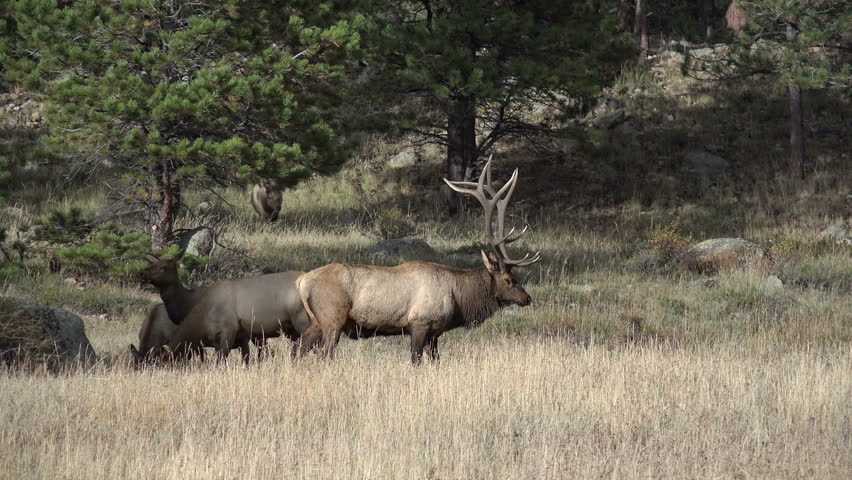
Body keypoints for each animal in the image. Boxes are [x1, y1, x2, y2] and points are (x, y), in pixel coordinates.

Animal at [296, 158, 544, 364]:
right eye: (509, 279)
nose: (527, 298)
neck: (459, 298)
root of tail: (302, 282)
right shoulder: (420, 323)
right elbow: (415, 359)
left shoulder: (435, 332)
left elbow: (435, 360)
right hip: (332, 318)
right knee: (324, 355)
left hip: (315, 322)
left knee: (298, 351)